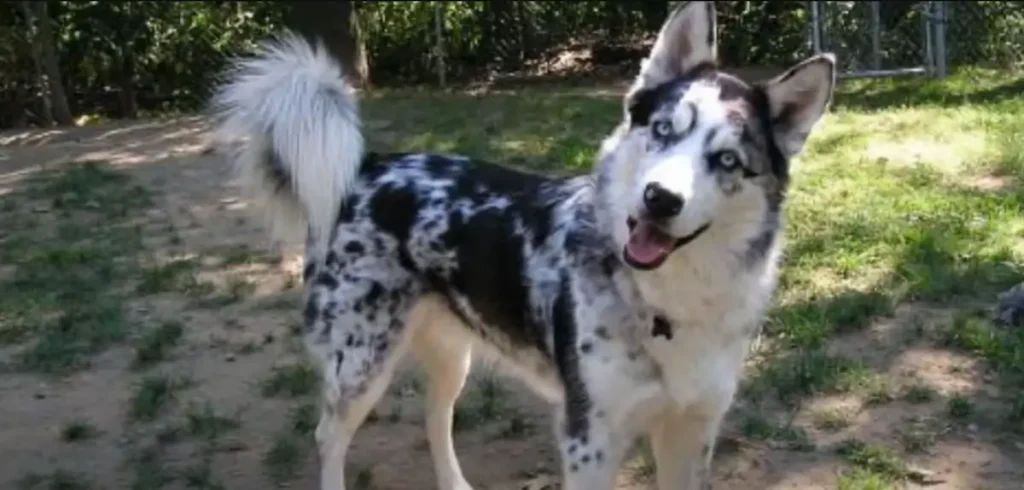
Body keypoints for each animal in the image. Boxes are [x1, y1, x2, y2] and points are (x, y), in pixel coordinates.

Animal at [207, 1, 831, 488]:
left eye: (726, 159)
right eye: (663, 130)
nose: (659, 199)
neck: (667, 303)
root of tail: (368, 165)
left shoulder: (692, 430)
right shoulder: (589, 439)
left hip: (450, 352)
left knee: (434, 418)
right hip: (361, 362)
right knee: (329, 437)